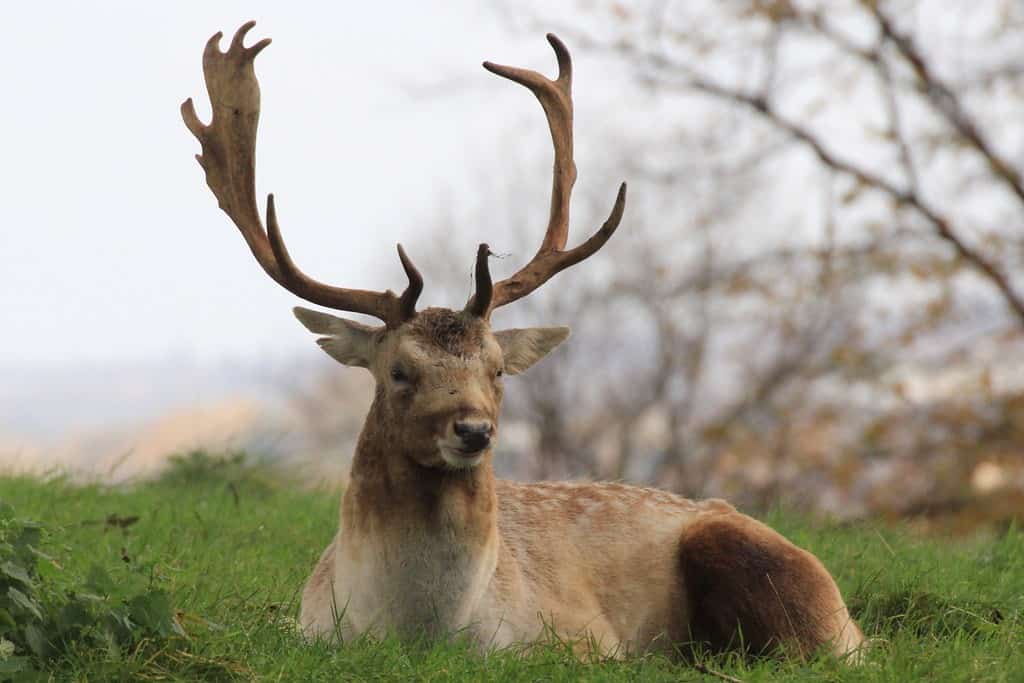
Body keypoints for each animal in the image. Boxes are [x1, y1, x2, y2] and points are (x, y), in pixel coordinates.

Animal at [184, 22, 864, 663]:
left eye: (498, 370)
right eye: (398, 372)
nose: (473, 429)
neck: (418, 630)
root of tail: (855, 623)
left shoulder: (588, 639)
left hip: (770, 569)